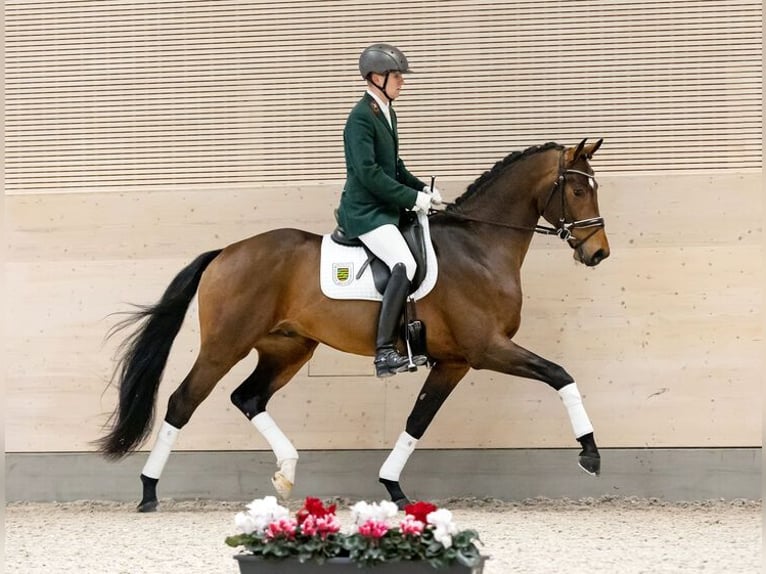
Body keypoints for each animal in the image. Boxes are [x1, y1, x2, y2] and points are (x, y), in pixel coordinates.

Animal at [97, 138, 610, 512]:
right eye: (578, 190)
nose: (599, 252)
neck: (479, 246)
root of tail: (225, 252)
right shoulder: (486, 348)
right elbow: (561, 375)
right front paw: (589, 454)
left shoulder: (455, 361)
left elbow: (418, 420)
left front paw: (393, 488)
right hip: (226, 345)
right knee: (184, 401)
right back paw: (148, 493)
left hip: (288, 348)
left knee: (248, 398)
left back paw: (286, 474)